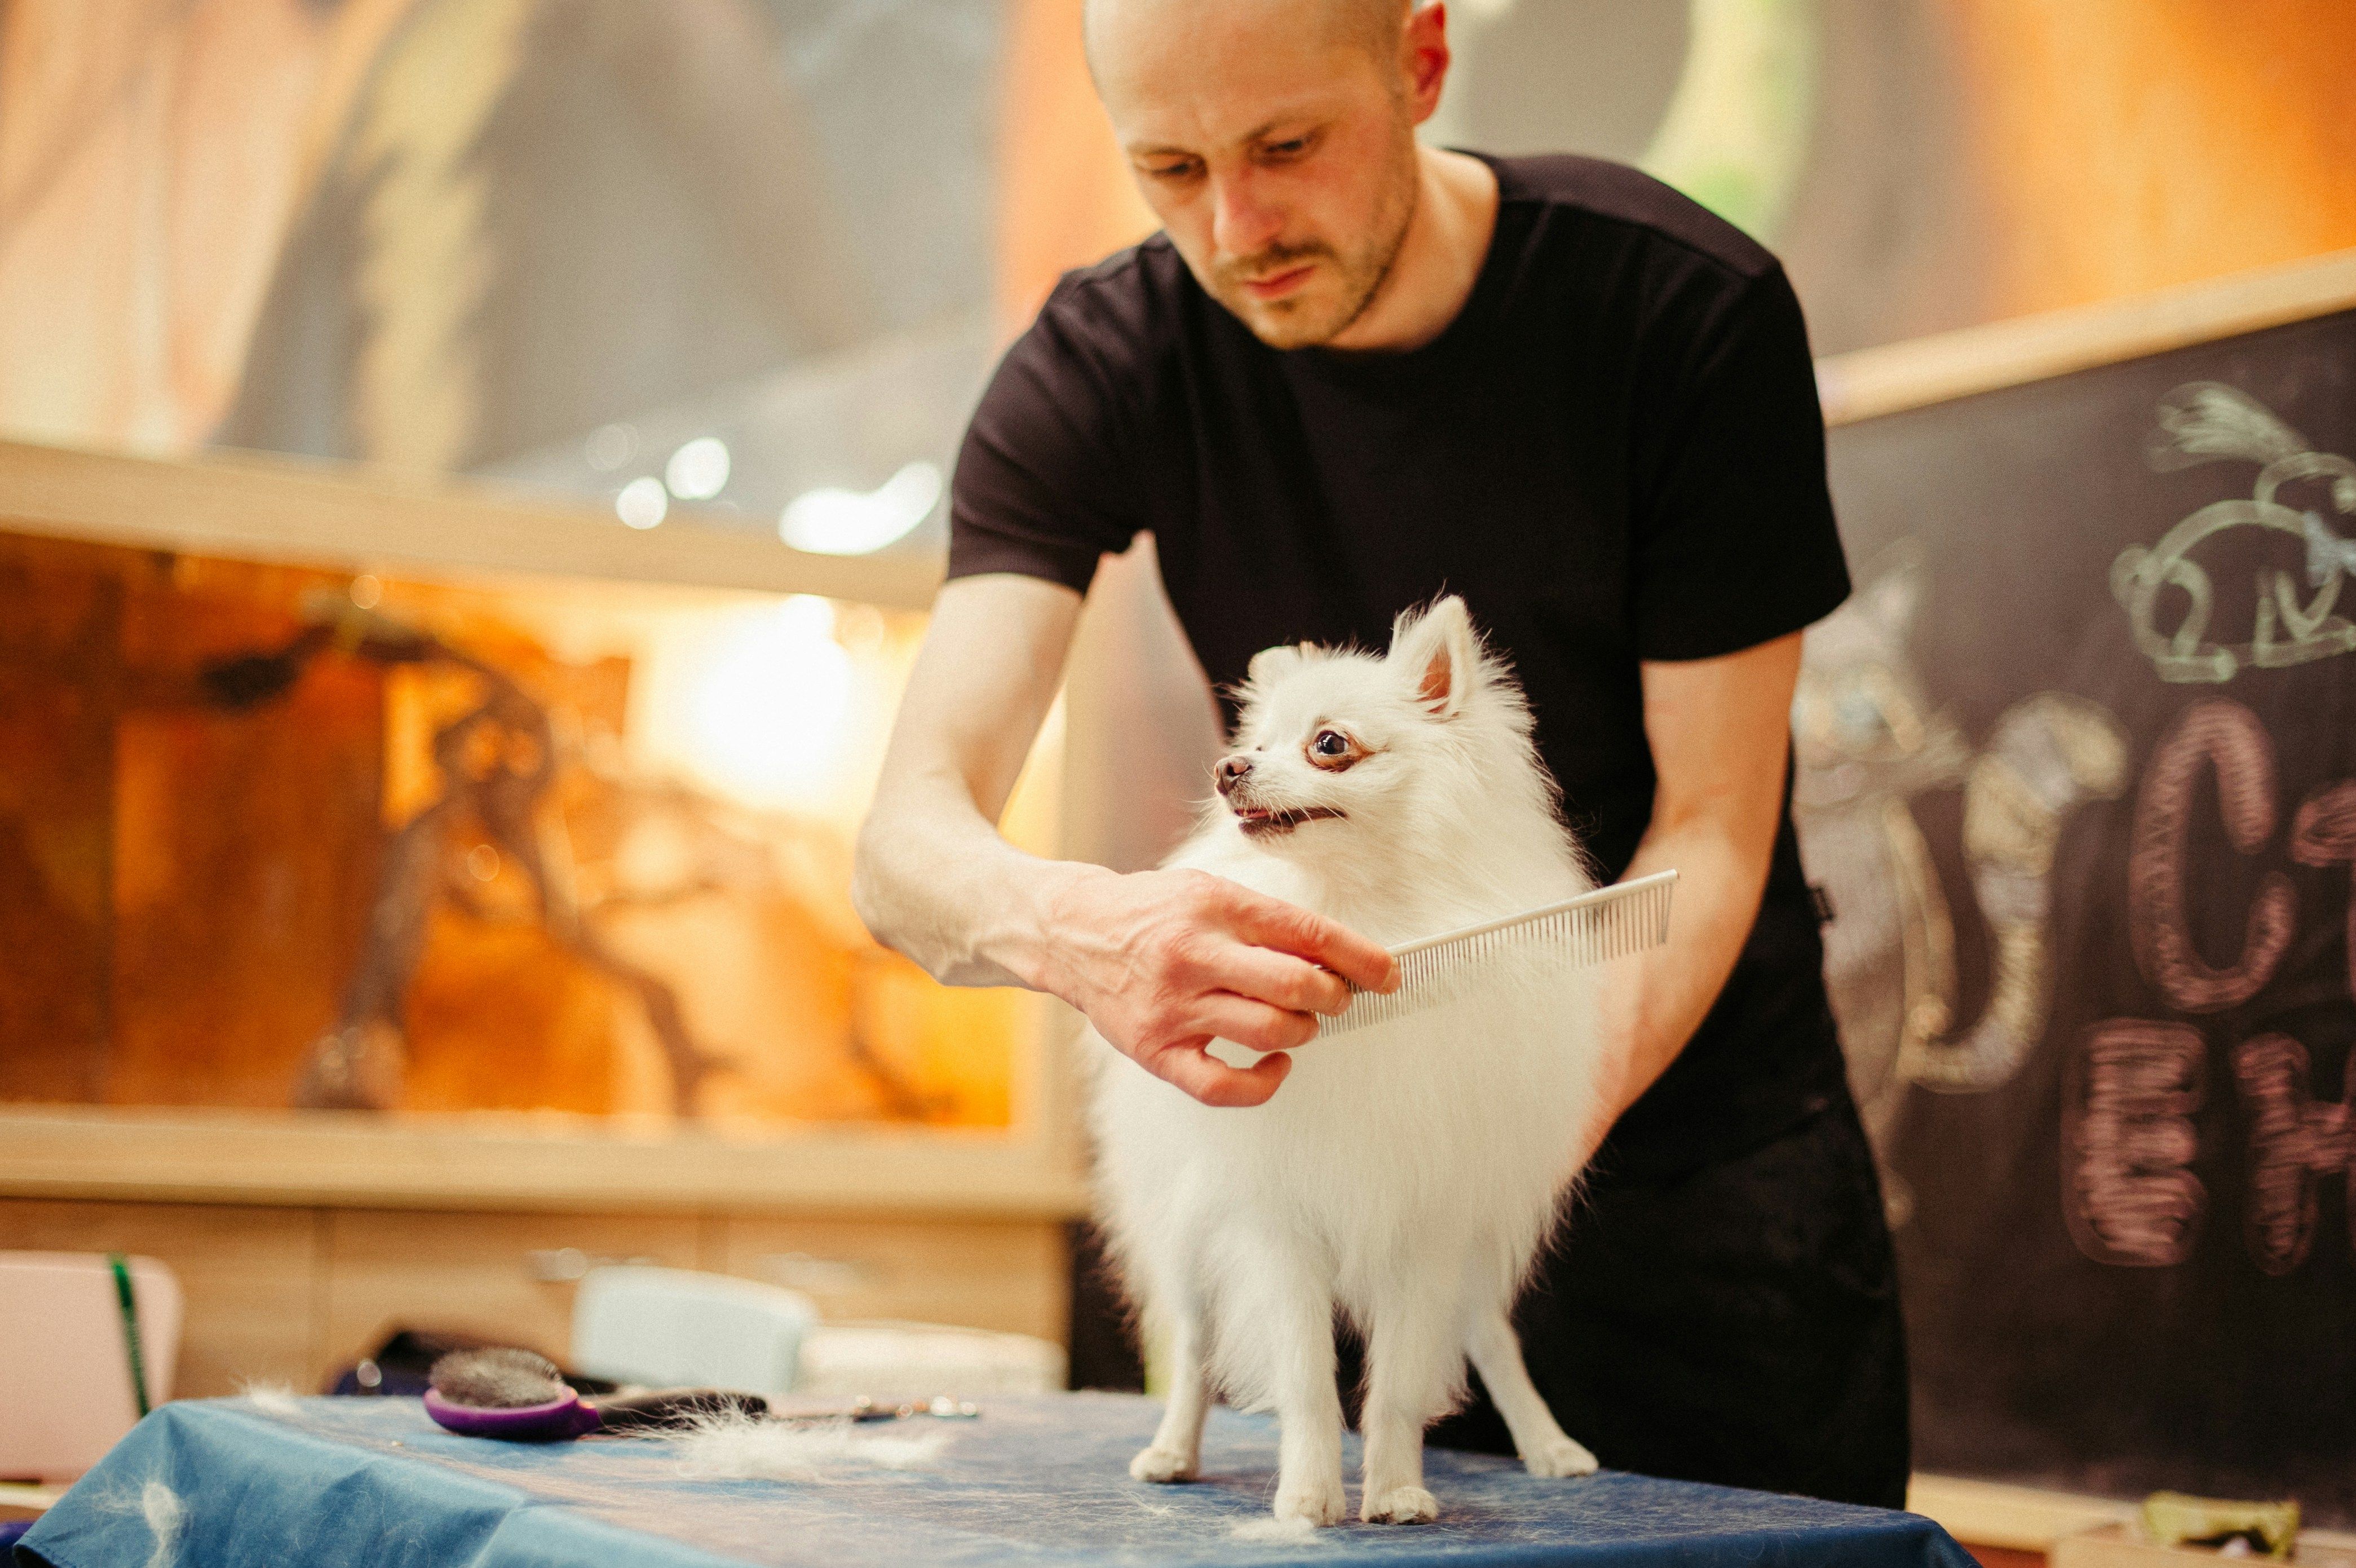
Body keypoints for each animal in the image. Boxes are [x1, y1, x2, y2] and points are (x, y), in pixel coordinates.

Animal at [1078, 594, 1602, 1518]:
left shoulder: (1430, 1224)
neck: (1357, 912)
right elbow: (1307, 1377)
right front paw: (1309, 1497)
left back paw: (1548, 1445)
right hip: (1186, 1232)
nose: (1228, 766)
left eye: (1329, 744)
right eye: (1255, 743)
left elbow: (1397, 1383)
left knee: (1491, 1341)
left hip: (1471, 1252)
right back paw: (1172, 1449)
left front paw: (1394, 1490)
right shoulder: (1276, 1222)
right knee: (1192, 1348)